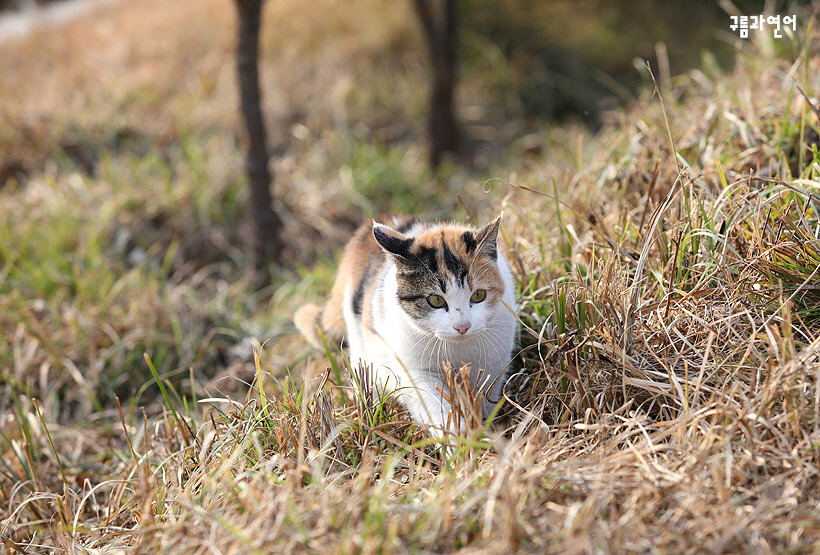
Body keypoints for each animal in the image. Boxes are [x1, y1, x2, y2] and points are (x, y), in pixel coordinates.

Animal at [292, 217, 516, 438]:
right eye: (435, 300)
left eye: (478, 295)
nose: (462, 326)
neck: (457, 348)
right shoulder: (416, 374)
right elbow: (439, 411)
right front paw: (459, 442)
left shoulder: (493, 367)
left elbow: (483, 400)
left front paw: (483, 432)